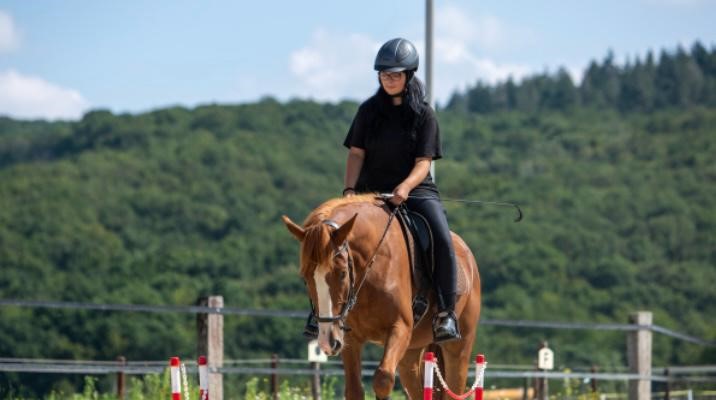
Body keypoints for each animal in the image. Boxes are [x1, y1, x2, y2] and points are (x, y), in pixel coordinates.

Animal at [282, 194, 481, 399]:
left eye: (343, 273)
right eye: (305, 278)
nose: (327, 341)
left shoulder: (400, 328)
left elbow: (383, 379)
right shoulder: (350, 338)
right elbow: (354, 389)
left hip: (458, 349)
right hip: (410, 353)